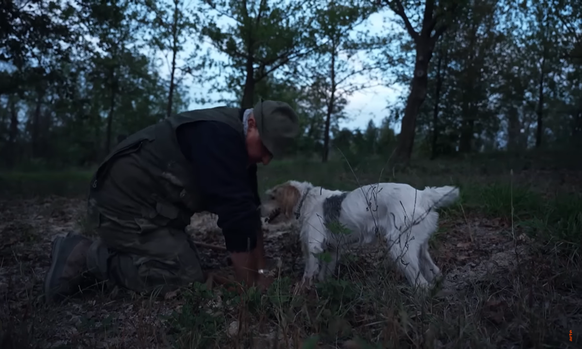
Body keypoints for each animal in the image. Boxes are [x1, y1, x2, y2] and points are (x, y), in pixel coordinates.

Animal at [262, 179, 464, 288]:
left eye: (272, 197)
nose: (258, 207)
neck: (306, 201)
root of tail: (422, 194)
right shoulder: (332, 249)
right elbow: (324, 273)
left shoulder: (313, 247)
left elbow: (308, 273)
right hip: (418, 246)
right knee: (432, 270)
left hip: (401, 249)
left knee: (421, 284)